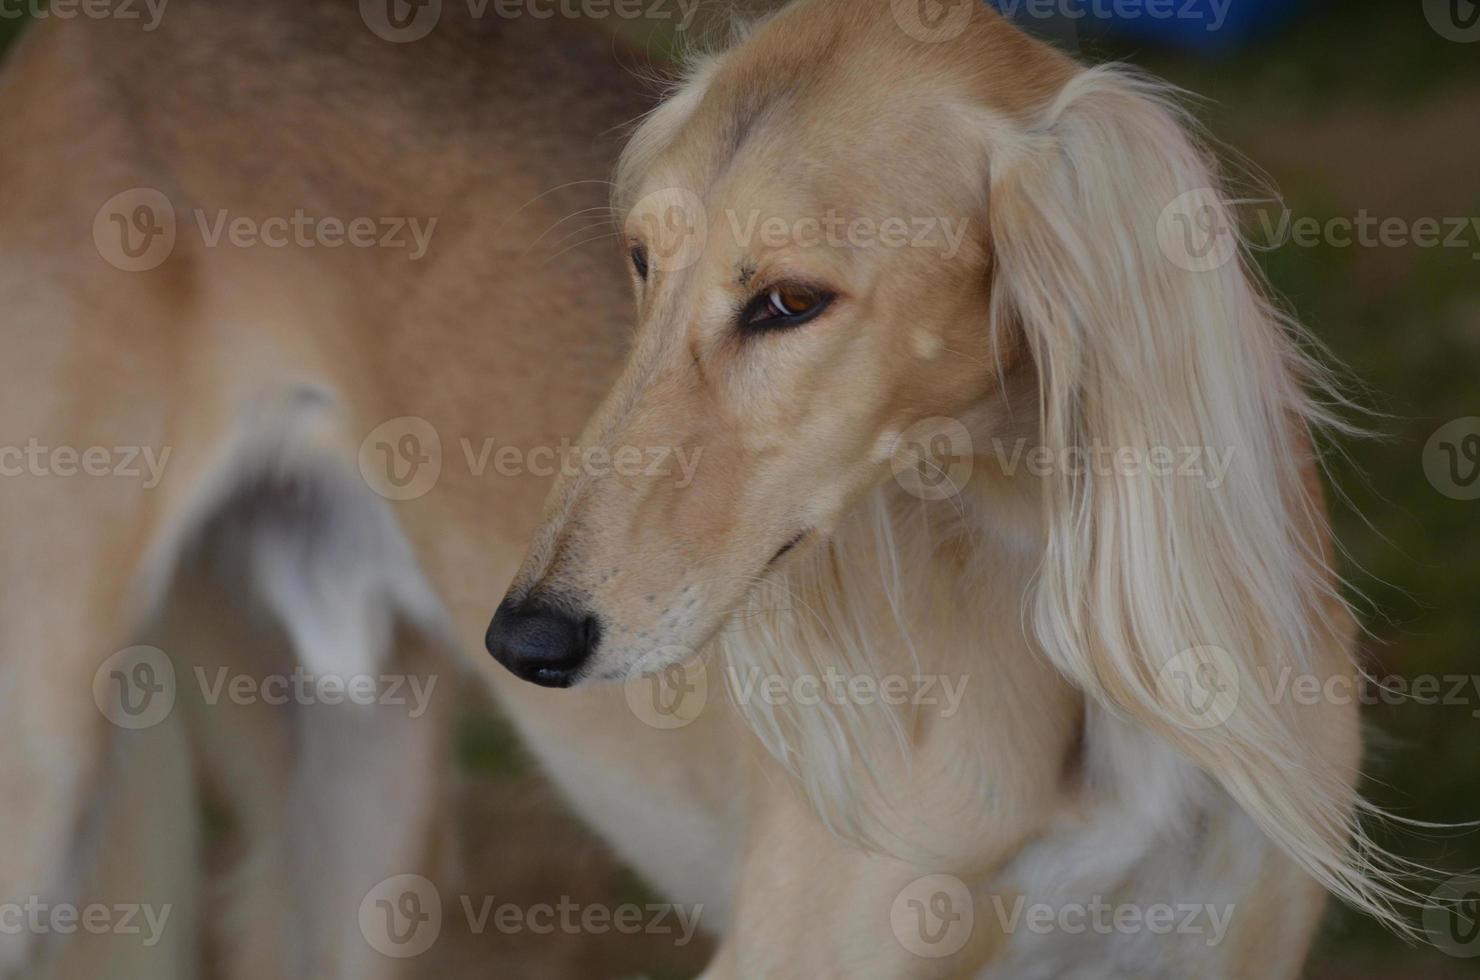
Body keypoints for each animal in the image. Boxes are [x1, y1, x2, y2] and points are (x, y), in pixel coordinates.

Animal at [0, 0, 1408, 977]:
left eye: (787, 300)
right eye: (636, 261)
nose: (527, 639)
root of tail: (86, 32)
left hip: (361, 793)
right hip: (47, 769)